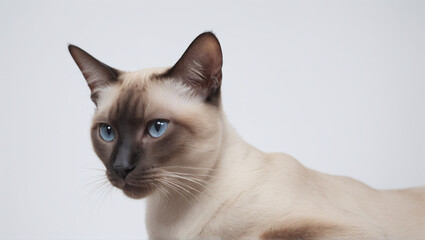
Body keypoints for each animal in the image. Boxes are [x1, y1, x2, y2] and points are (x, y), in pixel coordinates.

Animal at [68, 32, 424, 240]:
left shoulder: (346, 231)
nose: (120, 168)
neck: (172, 213)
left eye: (156, 128)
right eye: (108, 132)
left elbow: (263, 235)